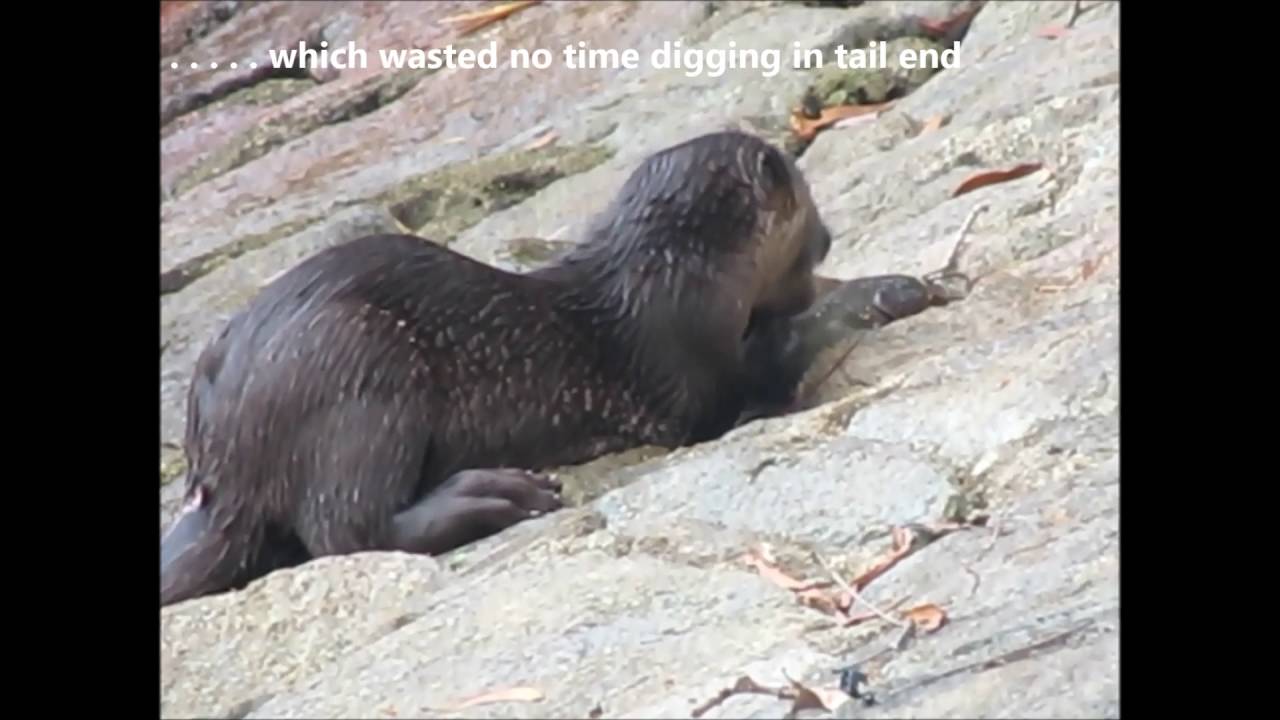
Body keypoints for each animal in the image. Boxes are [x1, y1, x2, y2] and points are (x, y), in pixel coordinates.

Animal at [160, 130, 836, 606]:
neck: (671, 277)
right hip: (357, 367)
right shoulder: (690, 370)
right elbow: (746, 387)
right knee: (344, 528)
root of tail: (220, 458)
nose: (829, 237)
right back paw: (497, 493)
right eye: (807, 203)